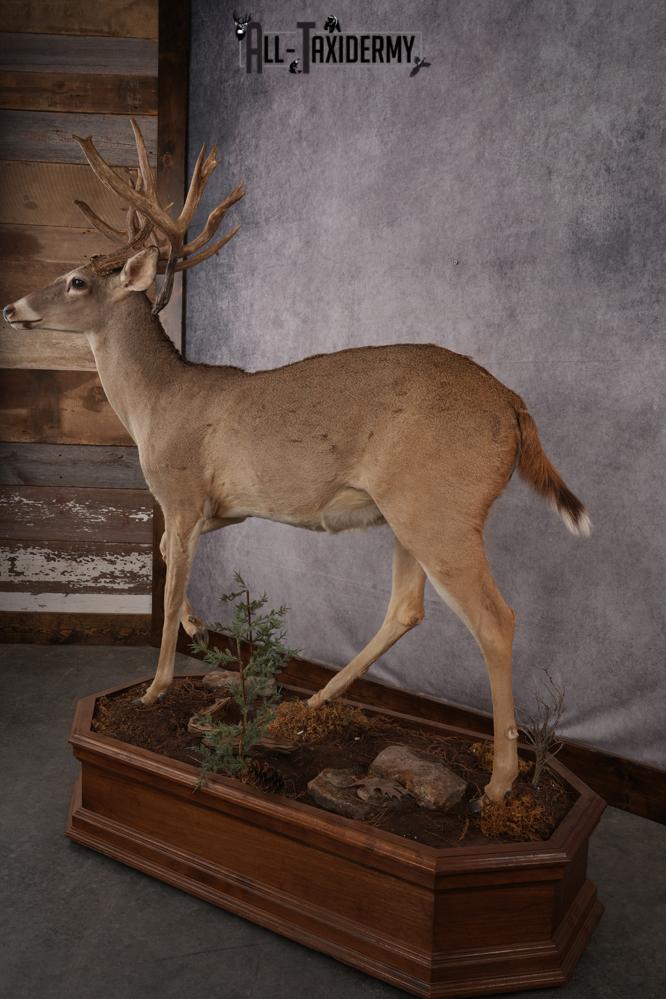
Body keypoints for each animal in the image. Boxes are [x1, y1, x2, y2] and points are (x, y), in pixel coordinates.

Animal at [2, 119, 590, 806]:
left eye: (77, 280)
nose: (11, 308)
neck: (156, 404)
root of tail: (514, 407)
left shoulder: (181, 491)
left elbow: (168, 587)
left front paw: (156, 686)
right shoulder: (216, 508)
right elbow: (167, 558)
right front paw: (200, 632)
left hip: (442, 507)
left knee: (496, 620)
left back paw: (499, 781)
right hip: (408, 514)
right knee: (408, 607)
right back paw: (313, 703)